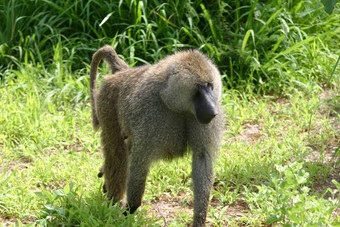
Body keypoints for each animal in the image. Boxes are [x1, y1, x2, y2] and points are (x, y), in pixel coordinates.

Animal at [89, 45, 224, 226]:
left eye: (209, 86)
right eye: (199, 88)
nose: (212, 110)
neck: (172, 102)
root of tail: (122, 74)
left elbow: (202, 157)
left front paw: (199, 218)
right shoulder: (150, 111)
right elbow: (141, 159)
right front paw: (130, 209)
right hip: (107, 101)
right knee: (116, 151)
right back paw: (114, 202)